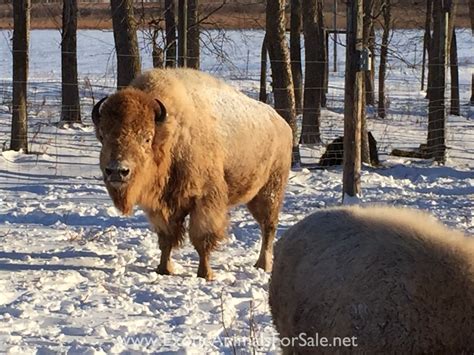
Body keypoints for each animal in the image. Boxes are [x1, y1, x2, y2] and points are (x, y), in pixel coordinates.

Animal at [91, 68, 292, 280]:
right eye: (103, 136)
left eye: (146, 138)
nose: (117, 171)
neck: (171, 134)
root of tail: (283, 124)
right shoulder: (162, 206)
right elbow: (166, 238)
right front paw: (163, 269)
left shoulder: (204, 201)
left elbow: (202, 238)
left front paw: (205, 274)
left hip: (270, 191)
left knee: (268, 227)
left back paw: (263, 264)